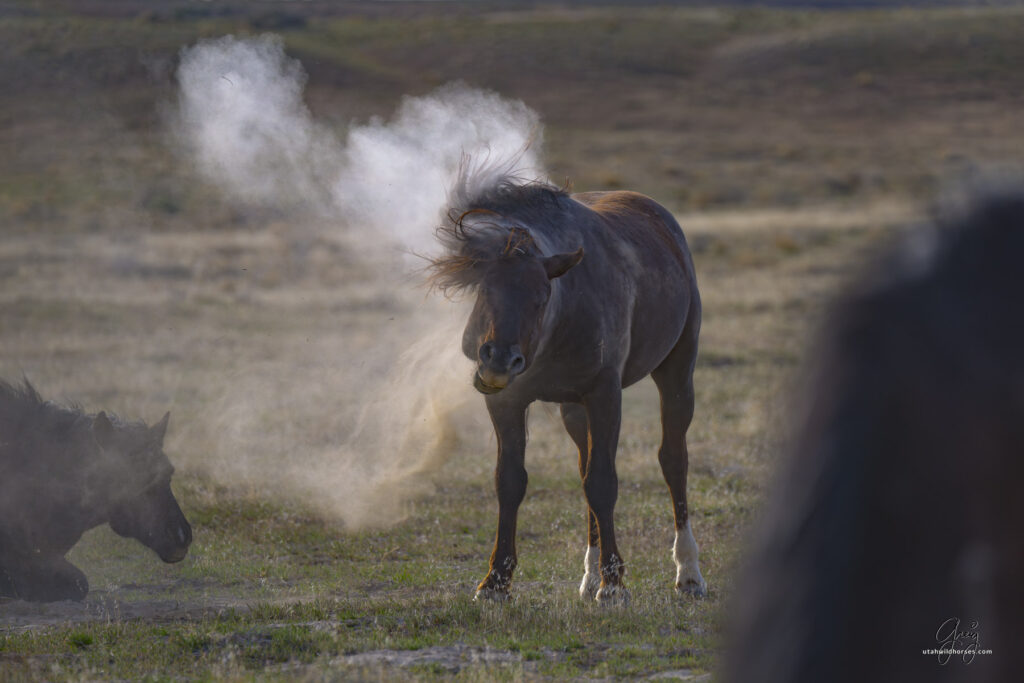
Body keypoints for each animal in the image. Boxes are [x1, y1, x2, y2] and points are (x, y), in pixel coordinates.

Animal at [430, 175, 705, 603]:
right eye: (485, 290)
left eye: (541, 297)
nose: (499, 361)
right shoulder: (508, 402)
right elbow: (510, 481)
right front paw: (496, 581)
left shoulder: (605, 395)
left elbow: (603, 482)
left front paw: (614, 584)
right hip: (574, 411)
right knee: (583, 467)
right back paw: (589, 575)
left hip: (676, 372)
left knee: (674, 461)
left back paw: (688, 572)